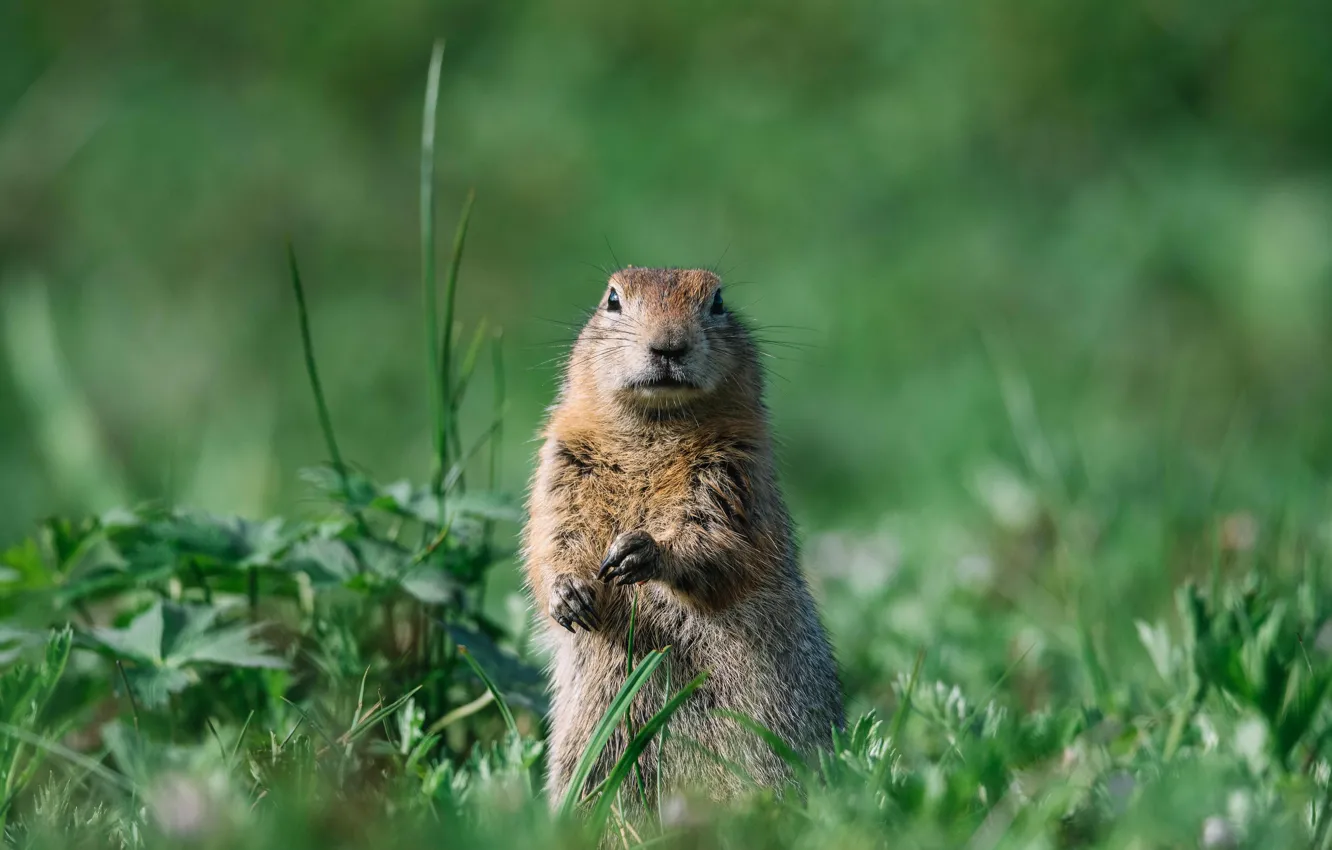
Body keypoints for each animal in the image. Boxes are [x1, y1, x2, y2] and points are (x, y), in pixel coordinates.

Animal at [519, 267, 841, 810]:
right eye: (612, 299)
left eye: (717, 301)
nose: (668, 345)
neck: (656, 425)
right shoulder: (562, 460)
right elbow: (551, 533)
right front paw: (569, 594)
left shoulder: (735, 470)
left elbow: (720, 539)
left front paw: (642, 551)